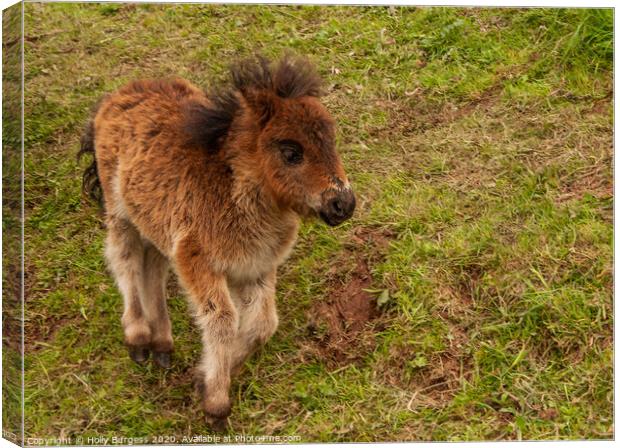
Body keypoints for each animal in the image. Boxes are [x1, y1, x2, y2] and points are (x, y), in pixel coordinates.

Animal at [78, 54, 354, 428]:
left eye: (331, 141)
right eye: (291, 151)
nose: (343, 204)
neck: (234, 194)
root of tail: (116, 96)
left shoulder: (255, 266)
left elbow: (262, 325)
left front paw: (203, 379)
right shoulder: (198, 261)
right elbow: (223, 321)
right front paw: (216, 404)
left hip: (156, 224)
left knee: (153, 267)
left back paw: (162, 346)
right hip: (120, 213)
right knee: (125, 260)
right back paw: (139, 339)